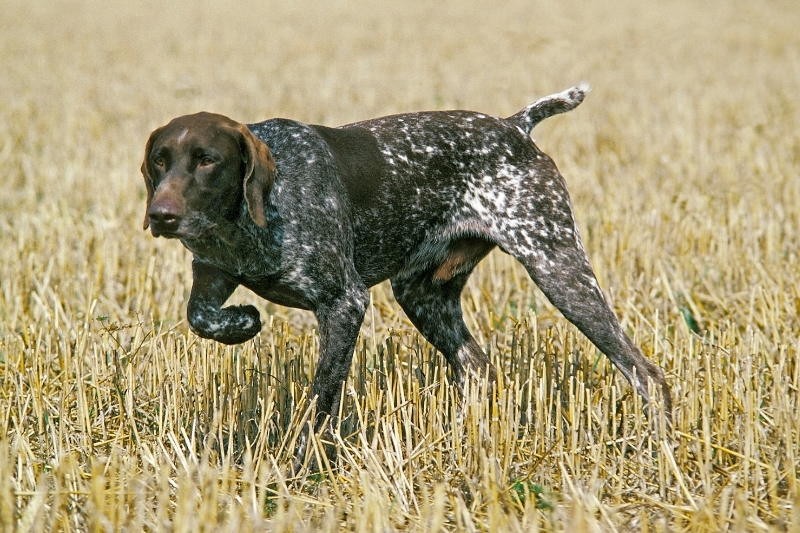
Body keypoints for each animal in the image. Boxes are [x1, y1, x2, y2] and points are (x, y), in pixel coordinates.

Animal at [142, 86, 668, 448]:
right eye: (159, 161)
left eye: (207, 161)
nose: (161, 215)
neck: (253, 220)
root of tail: (514, 126)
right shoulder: (212, 271)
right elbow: (199, 315)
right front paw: (240, 324)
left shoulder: (345, 303)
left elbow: (322, 398)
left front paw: (304, 460)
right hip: (421, 294)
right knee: (476, 366)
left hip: (558, 266)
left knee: (644, 372)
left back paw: (655, 445)